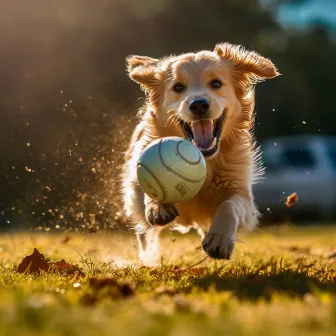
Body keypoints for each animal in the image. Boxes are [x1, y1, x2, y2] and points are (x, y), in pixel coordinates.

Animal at [121, 43, 278, 266]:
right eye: (178, 87)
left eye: (216, 83)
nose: (198, 104)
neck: (206, 160)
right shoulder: (134, 182)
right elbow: (144, 189)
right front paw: (157, 207)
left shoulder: (243, 196)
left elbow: (230, 205)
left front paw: (220, 238)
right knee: (145, 238)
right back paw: (149, 259)